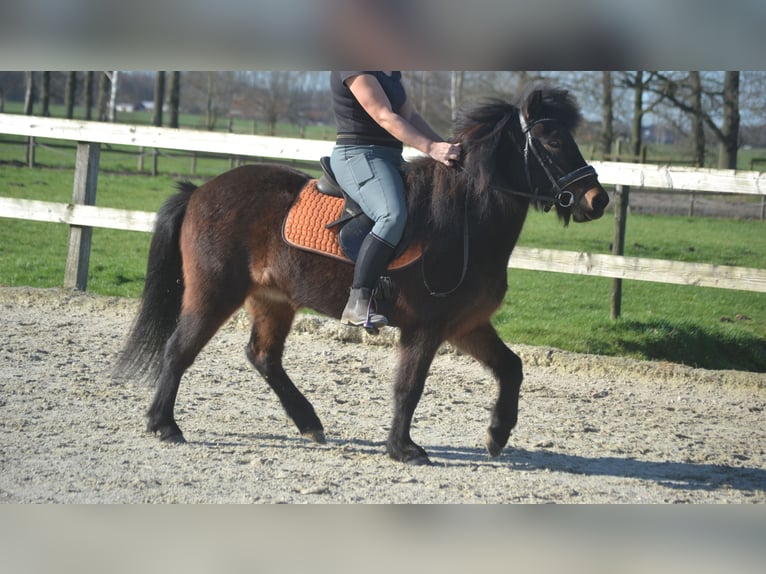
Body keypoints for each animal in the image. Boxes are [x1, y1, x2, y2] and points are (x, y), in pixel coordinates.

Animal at [117, 82, 609, 465]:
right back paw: (163, 425)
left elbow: (511, 367)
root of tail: (201, 191)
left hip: (273, 300)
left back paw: (309, 423)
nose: (597, 199)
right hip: (214, 292)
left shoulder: (466, 324)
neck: (465, 220)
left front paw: (497, 434)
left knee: (263, 357)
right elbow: (409, 386)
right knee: (179, 349)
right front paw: (403, 448)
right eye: (550, 141)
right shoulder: (426, 326)